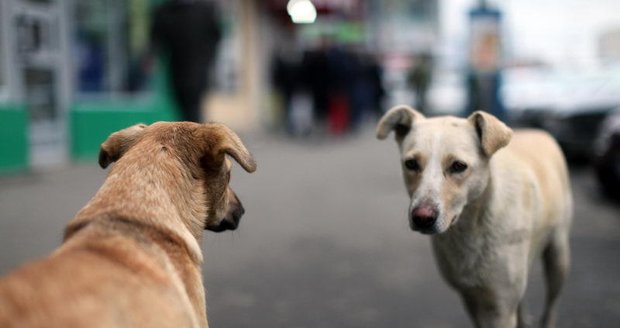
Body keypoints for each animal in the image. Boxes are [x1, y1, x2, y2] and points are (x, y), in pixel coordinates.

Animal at [376, 105, 572, 328]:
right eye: (411, 164)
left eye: (458, 166)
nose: (422, 218)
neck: (472, 228)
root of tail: (539, 131)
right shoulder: (470, 297)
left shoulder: (501, 308)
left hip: (558, 258)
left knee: (551, 305)